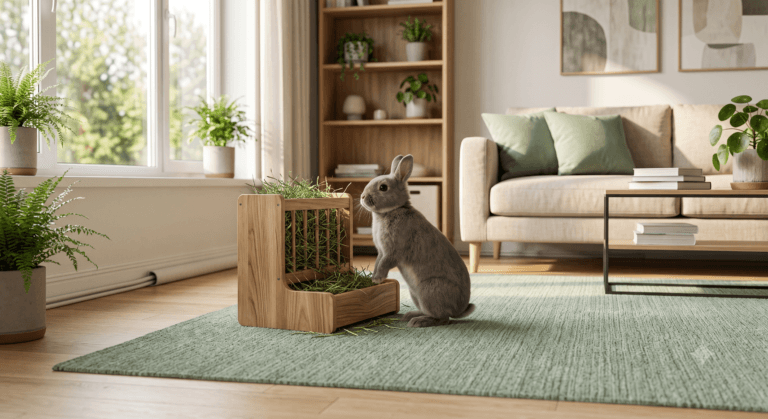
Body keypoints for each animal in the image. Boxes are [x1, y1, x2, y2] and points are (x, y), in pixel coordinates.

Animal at [359, 155, 475, 328]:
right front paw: (374, 278)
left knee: (443, 318)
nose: (362, 197)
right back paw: (410, 316)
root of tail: (458, 310)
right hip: (415, 294)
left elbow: (385, 263)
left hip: (428, 291)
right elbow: (377, 262)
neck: (393, 210)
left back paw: (417, 322)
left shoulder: (393, 251)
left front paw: (377, 279)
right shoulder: (381, 251)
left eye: (383, 187)